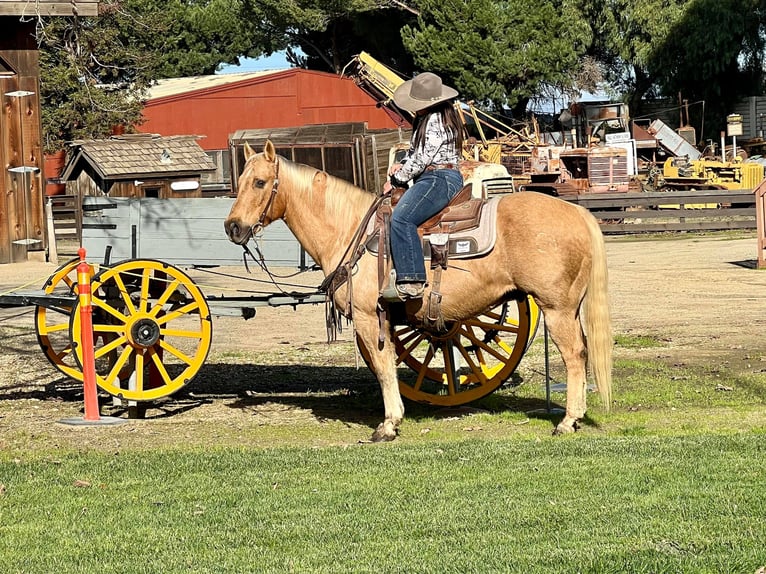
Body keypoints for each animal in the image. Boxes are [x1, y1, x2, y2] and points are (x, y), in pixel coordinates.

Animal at [224, 142, 612, 444]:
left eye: (260, 182)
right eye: (239, 182)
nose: (233, 227)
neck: (350, 229)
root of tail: (576, 212)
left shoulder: (368, 317)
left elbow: (383, 367)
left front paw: (389, 424)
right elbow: (388, 365)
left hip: (556, 308)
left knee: (575, 354)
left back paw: (568, 420)